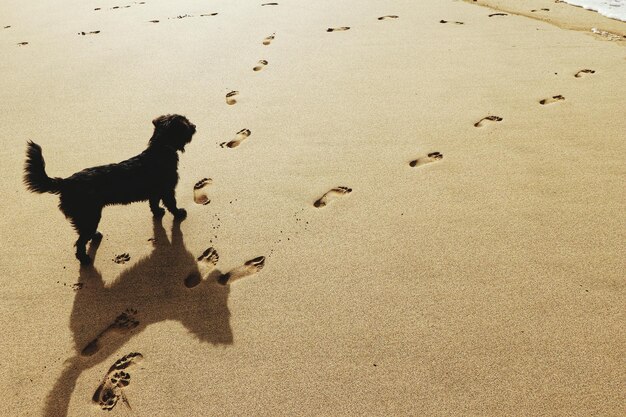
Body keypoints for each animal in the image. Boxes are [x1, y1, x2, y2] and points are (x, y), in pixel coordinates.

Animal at [24, 114, 195, 264]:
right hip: (89, 215)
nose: (195, 126)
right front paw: (179, 213)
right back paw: (85, 259)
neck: (161, 148)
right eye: (186, 124)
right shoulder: (167, 189)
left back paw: (95, 237)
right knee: (80, 242)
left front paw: (158, 212)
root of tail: (67, 182)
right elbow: (171, 203)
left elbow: (154, 203)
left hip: (86, 217)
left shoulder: (155, 191)